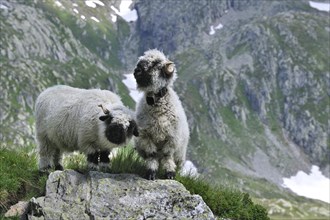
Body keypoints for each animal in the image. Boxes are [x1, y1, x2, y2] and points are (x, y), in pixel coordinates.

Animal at [133, 49, 189, 180]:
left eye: (156, 63)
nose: (136, 70)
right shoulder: (145, 136)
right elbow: (152, 155)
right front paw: (151, 173)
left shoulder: (172, 138)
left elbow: (167, 156)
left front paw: (169, 173)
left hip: (180, 155)